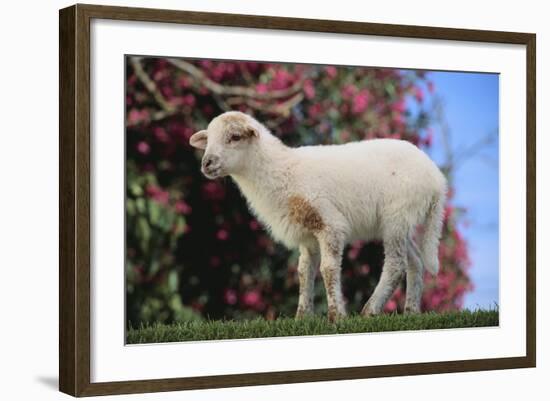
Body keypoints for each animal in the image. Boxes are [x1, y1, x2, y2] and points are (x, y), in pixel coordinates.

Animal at [191, 110, 448, 322]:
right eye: (208, 140)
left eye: (235, 137)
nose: (206, 163)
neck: (281, 171)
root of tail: (436, 179)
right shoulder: (307, 234)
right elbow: (304, 273)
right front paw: (302, 317)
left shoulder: (329, 223)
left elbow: (328, 269)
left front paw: (336, 316)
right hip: (401, 221)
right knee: (415, 261)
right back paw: (411, 311)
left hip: (397, 213)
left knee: (396, 264)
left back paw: (370, 310)